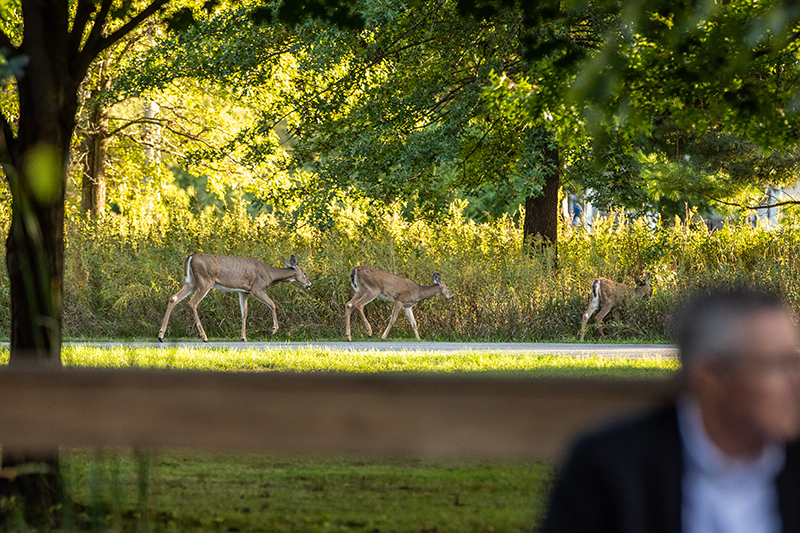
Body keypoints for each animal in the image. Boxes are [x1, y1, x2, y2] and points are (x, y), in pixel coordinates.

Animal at [158, 252, 310, 342]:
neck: (271, 276)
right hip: (205, 281)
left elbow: (244, 313)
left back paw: (161, 335)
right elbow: (272, 304)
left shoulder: (244, 291)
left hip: (191, 283)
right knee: (192, 303)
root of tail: (190, 257)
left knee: (173, 298)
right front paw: (273, 330)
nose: (309, 284)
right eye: (304, 273)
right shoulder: (257, 288)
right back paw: (204, 337)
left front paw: (243, 337)